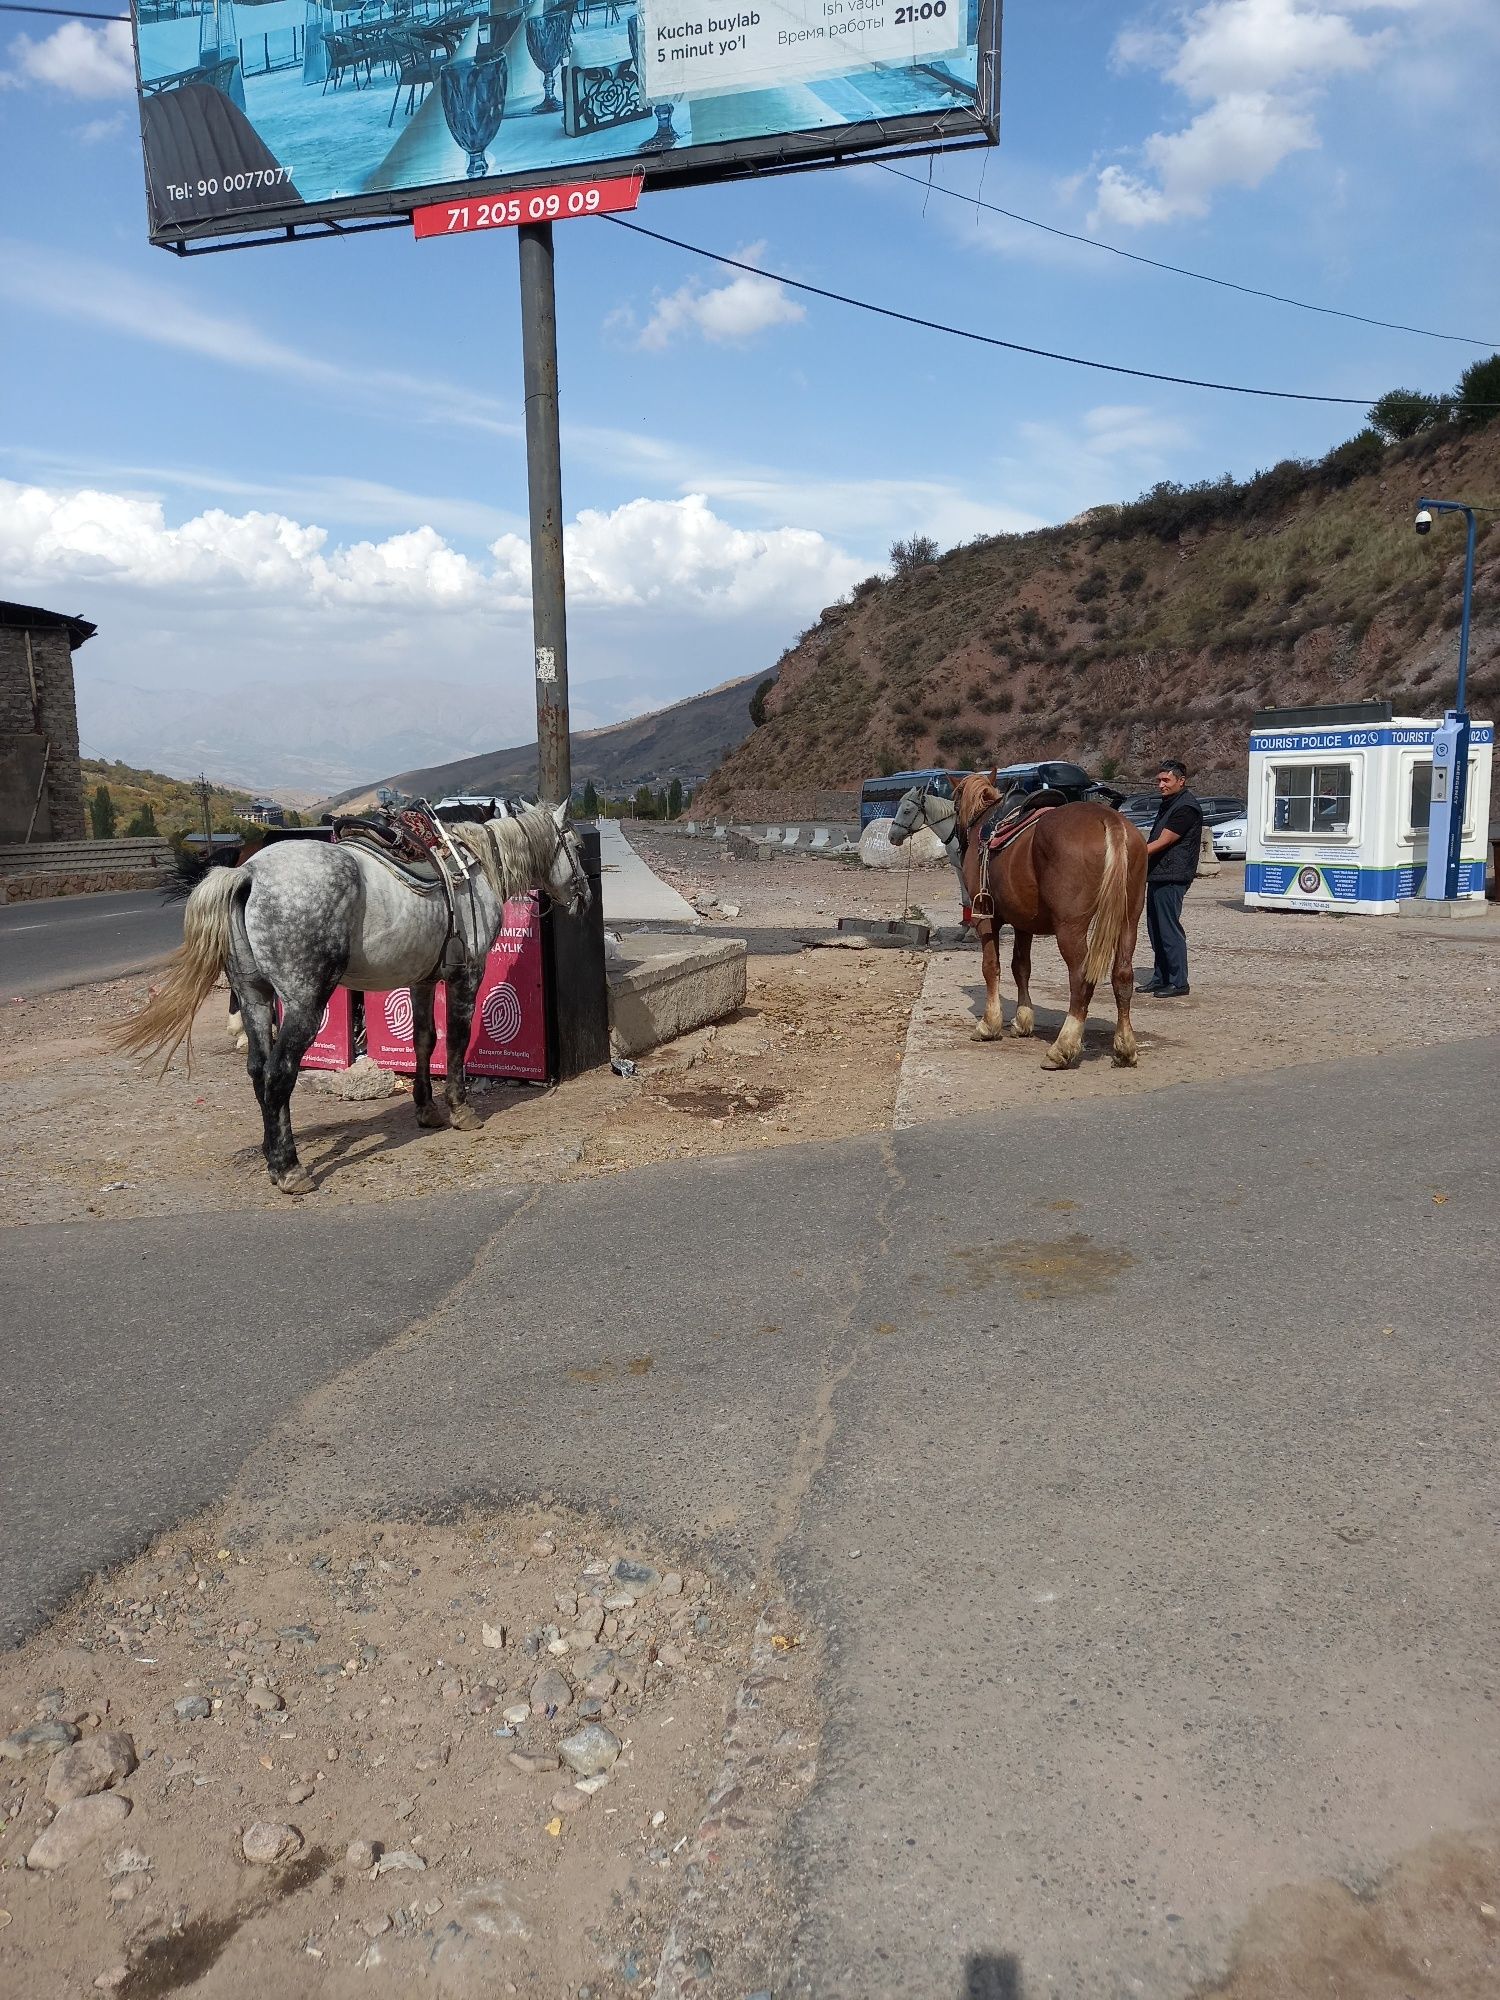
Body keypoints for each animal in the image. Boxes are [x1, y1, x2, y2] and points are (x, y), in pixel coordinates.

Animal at [120, 804, 592, 1192]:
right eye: (577, 845)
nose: (586, 897)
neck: (473, 868)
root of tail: (247, 873)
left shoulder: (422, 981)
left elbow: (424, 1041)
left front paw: (427, 1110)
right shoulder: (466, 976)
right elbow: (457, 1042)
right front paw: (460, 1110)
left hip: (253, 995)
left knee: (257, 1070)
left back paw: (273, 1155)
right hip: (304, 1004)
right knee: (279, 1073)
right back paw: (289, 1169)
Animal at [956, 772, 1144, 1072]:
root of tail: (1109, 819)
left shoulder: (986, 919)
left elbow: (991, 967)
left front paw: (988, 1024)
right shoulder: (1023, 923)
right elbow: (1021, 967)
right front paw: (1022, 1021)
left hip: (1070, 928)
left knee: (1081, 979)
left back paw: (1062, 1047)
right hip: (1129, 921)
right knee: (1123, 976)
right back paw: (1125, 1047)